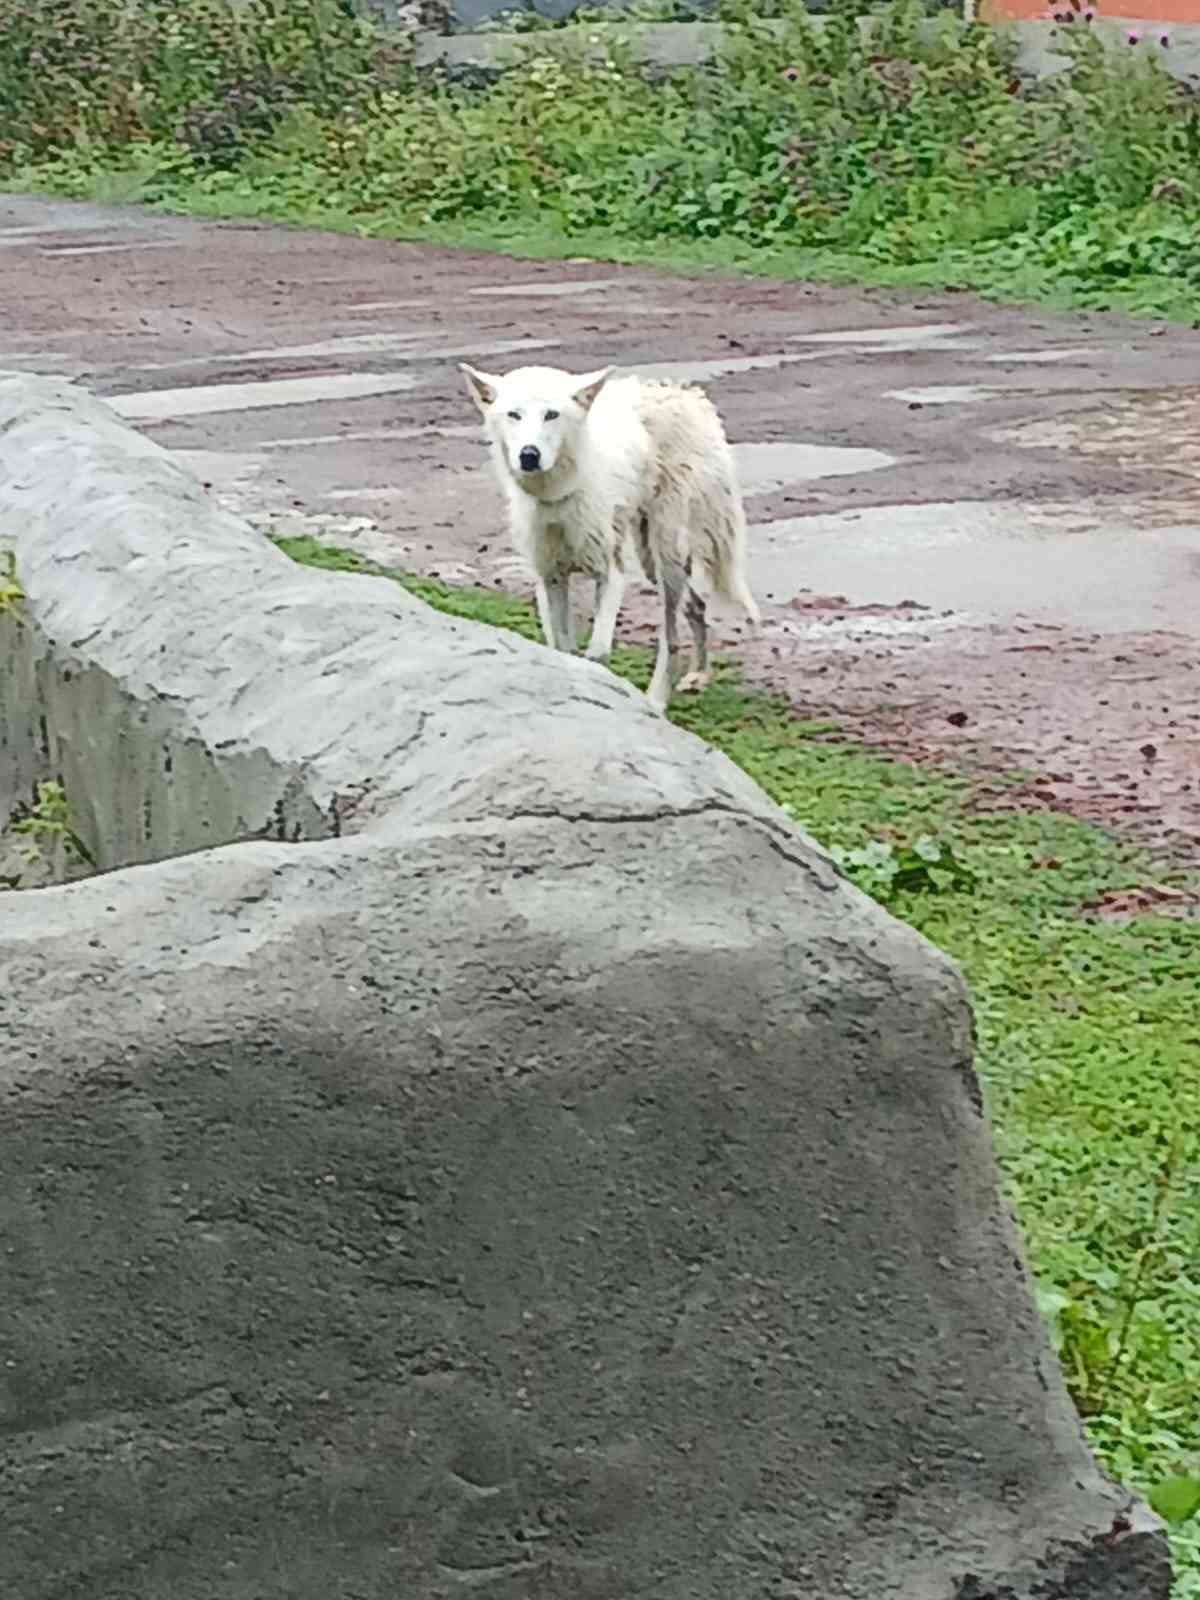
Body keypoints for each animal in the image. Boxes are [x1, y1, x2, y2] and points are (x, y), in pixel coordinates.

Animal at [460, 366, 761, 716]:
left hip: (665, 554)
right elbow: (562, 648)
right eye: (514, 415)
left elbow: (598, 651)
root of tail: (687, 396)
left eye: (552, 415)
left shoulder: (611, 574)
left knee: (670, 636)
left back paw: (657, 699)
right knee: (696, 605)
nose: (529, 455)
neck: (558, 498)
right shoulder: (550, 578)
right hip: (650, 560)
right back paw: (698, 674)